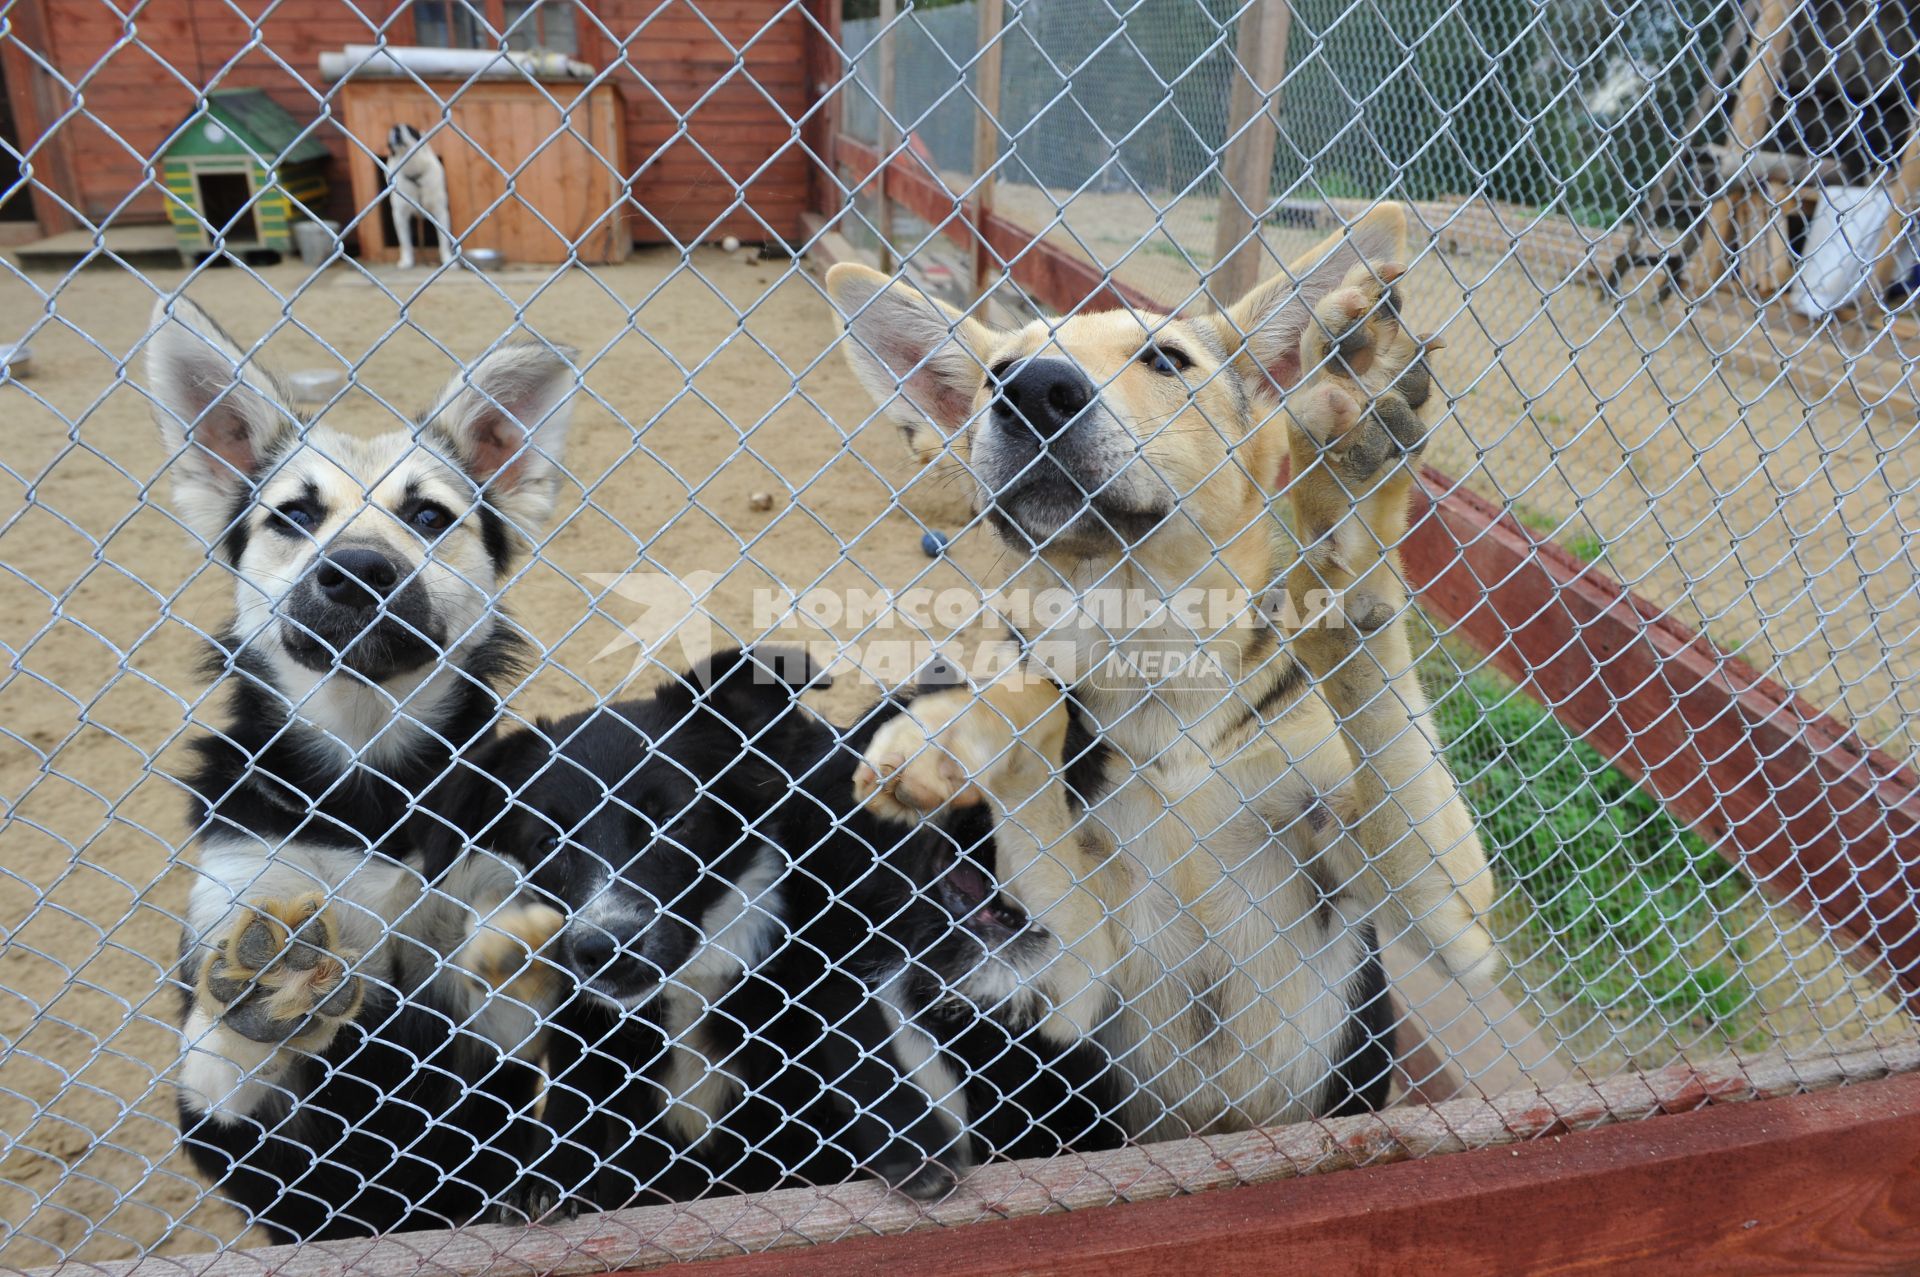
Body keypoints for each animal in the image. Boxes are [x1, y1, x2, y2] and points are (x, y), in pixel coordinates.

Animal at [148, 295, 572, 1236]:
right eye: (295, 516)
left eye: (429, 517)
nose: (359, 571)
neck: (372, 773)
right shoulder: (235, 1131)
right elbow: (220, 1060)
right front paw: (263, 981)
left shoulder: (482, 1028)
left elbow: (496, 985)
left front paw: (512, 941)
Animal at [382, 123, 456, 268]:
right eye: (392, 129)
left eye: (410, 129)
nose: (397, 128)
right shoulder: (400, 215)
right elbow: (405, 242)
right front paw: (406, 261)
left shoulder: (441, 211)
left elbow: (443, 241)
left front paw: (448, 260)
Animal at [430, 652, 1121, 1213]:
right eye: (546, 843)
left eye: (675, 820)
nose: (605, 950)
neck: (692, 980)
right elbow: (574, 1096)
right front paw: (547, 1179)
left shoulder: (820, 980)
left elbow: (856, 1047)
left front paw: (912, 1149)